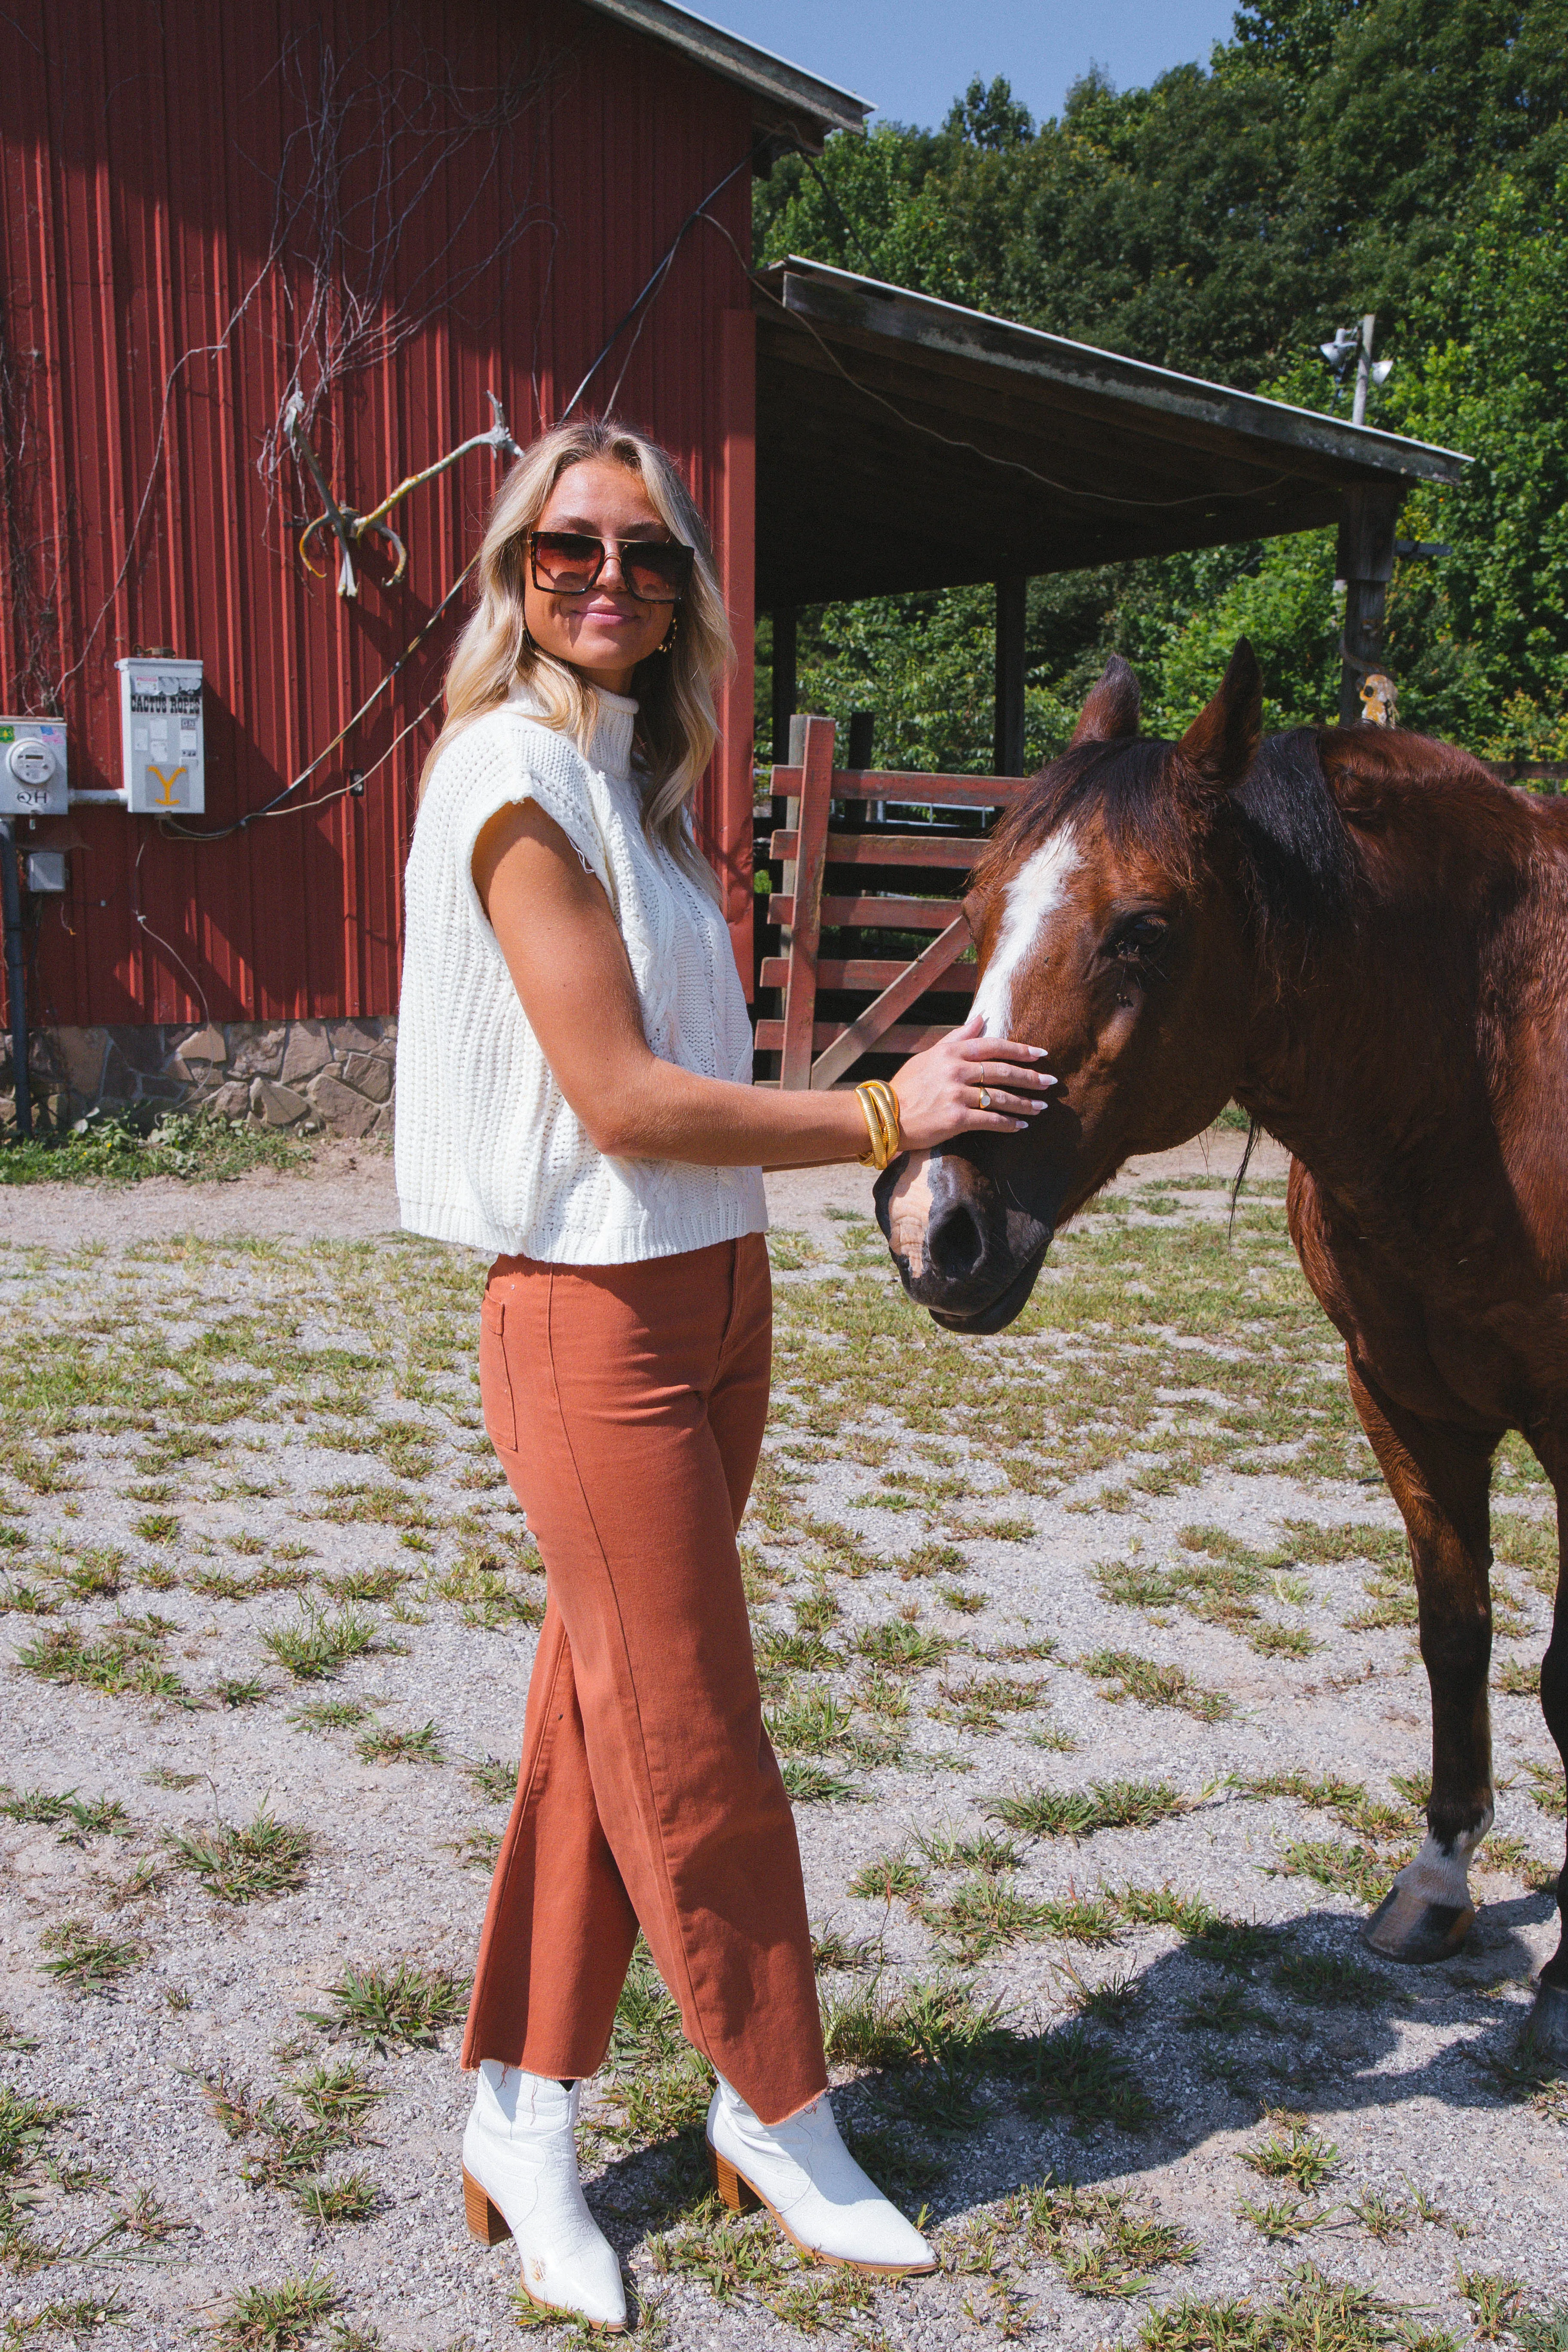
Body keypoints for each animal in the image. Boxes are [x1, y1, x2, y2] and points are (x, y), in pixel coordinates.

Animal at [870, 640, 1568, 2041]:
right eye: (975, 905)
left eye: (1146, 928)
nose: (935, 1223)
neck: (1489, 1070)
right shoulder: (1405, 1400)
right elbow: (1454, 1630)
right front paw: (1434, 1885)